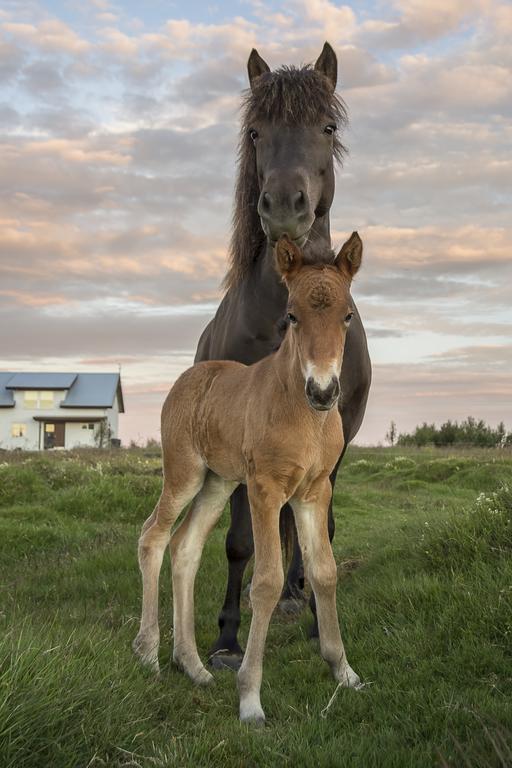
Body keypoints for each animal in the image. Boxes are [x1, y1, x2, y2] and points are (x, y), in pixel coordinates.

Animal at [133, 231, 364, 724]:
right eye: (291, 316)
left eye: (348, 315)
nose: (323, 391)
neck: (305, 416)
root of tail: (189, 377)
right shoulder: (265, 490)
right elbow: (267, 582)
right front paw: (250, 699)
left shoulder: (314, 492)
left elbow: (324, 571)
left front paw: (343, 670)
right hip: (184, 472)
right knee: (153, 535)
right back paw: (147, 654)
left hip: (217, 483)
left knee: (185, 548)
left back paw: (193, 665)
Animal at [196, 42, 372, 664]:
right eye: (255, 132)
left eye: (327, 126)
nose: (283, 209)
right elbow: (240, 539)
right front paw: (228, 636)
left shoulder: (339, 431)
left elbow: (321, 529)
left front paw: (321, 616)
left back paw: (297, 590)